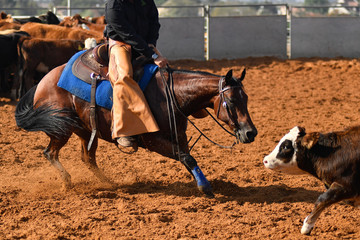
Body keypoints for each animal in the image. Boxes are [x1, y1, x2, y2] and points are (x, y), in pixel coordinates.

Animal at [15, 63, 258, 197]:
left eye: (246, 98)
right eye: (232, 101)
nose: (251, 133)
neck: (170, 95)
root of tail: (42, 82)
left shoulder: (179, 136)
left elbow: (188, 158)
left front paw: (200, 182)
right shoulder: (154, 141)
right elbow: (187, 158)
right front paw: (205, 187)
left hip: (86, 131)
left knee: (87, 158)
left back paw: (110, 184)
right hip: (61, 128)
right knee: (50, 153)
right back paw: (67, 182)